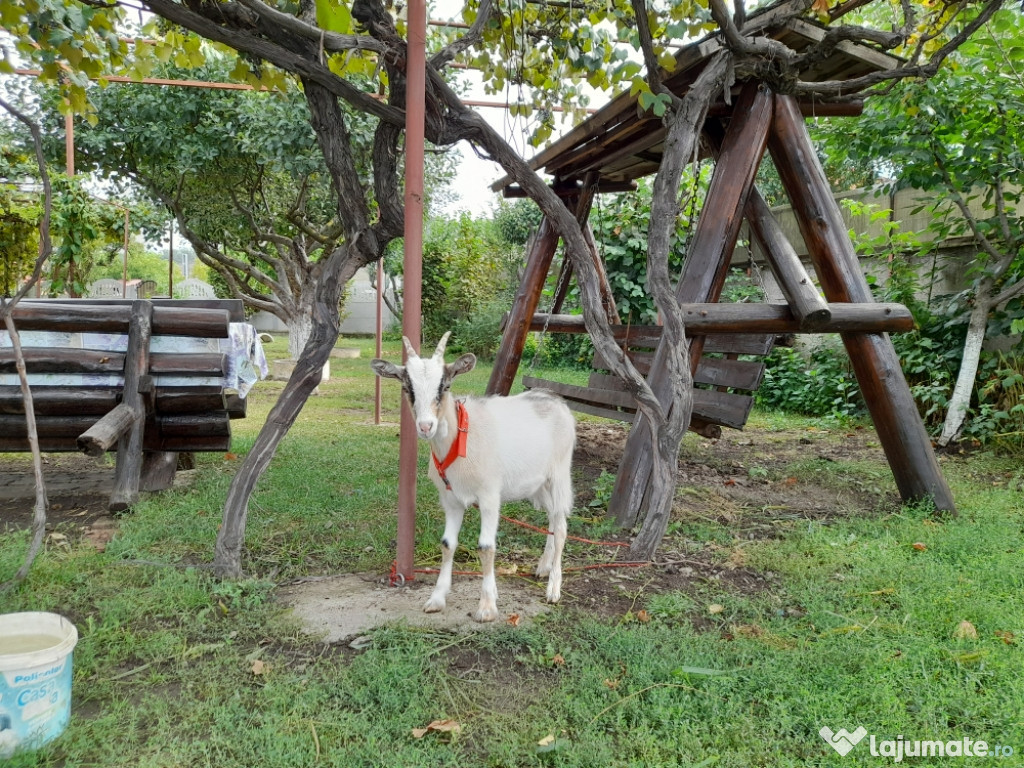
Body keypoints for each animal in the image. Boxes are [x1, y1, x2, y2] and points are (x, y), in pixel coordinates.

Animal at [372, 333, 577, 622]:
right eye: (407, 388)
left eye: (445, 386)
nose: (425, 426)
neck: (461, 438)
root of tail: (556, 400)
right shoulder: (450, 498)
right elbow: (447, 544)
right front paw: (436, 598)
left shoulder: (490, 496)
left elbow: (486, 547)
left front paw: (487, 607)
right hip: (536, 485)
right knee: (552, 518)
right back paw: (543, 567)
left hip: (559, 473)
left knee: (560, 527)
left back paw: (553, 589)